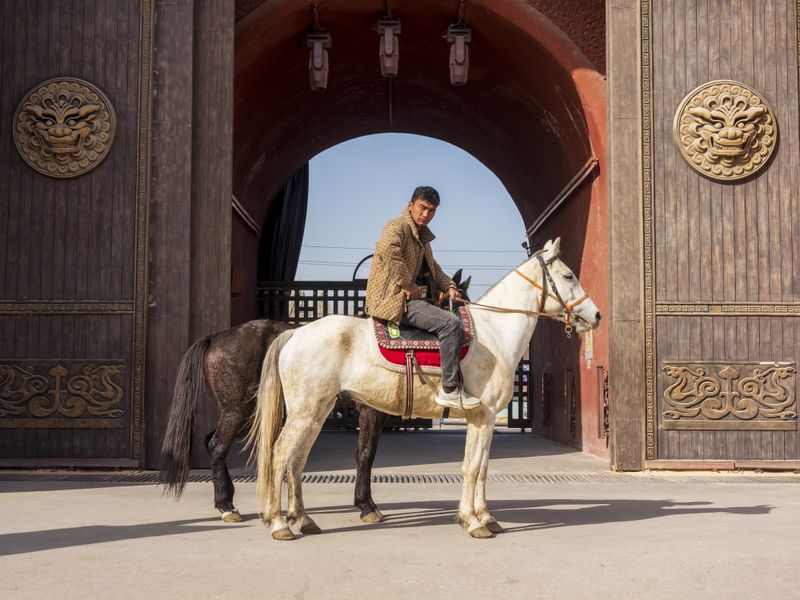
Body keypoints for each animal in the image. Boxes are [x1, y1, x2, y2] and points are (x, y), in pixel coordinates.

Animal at [159, 270, 472, 524]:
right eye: (457, 304)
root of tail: (218, 336)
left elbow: (365, 455)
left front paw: (364, 503)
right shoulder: (370, 412)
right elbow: (365, 455)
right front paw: (366, 506)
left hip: (241, 412)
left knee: (210, 441)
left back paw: (228, 499)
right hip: (239, 410)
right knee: (217, 445)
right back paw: (226, 505)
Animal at [248, 238, 601, 539]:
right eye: (568, 275)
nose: (596, 315)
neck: (493, 334)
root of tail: (295, 333)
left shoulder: (483, 420)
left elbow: (481, 467)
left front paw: (485, 517)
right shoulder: (483, 416)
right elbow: (473, 467)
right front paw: (474, 522)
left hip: (316, 412)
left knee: (296, 459)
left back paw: (304, 520)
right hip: (305, 413)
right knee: (280, 454)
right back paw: (279, 523)